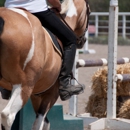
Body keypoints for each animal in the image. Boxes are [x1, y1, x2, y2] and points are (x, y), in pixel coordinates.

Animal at [0, 0, 90, 129]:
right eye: (89, 12)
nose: (83, 41)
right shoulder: (51, 93)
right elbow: (40, 122)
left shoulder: (36, 95)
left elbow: (45, 122)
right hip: (24, 85)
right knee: (8, 116)